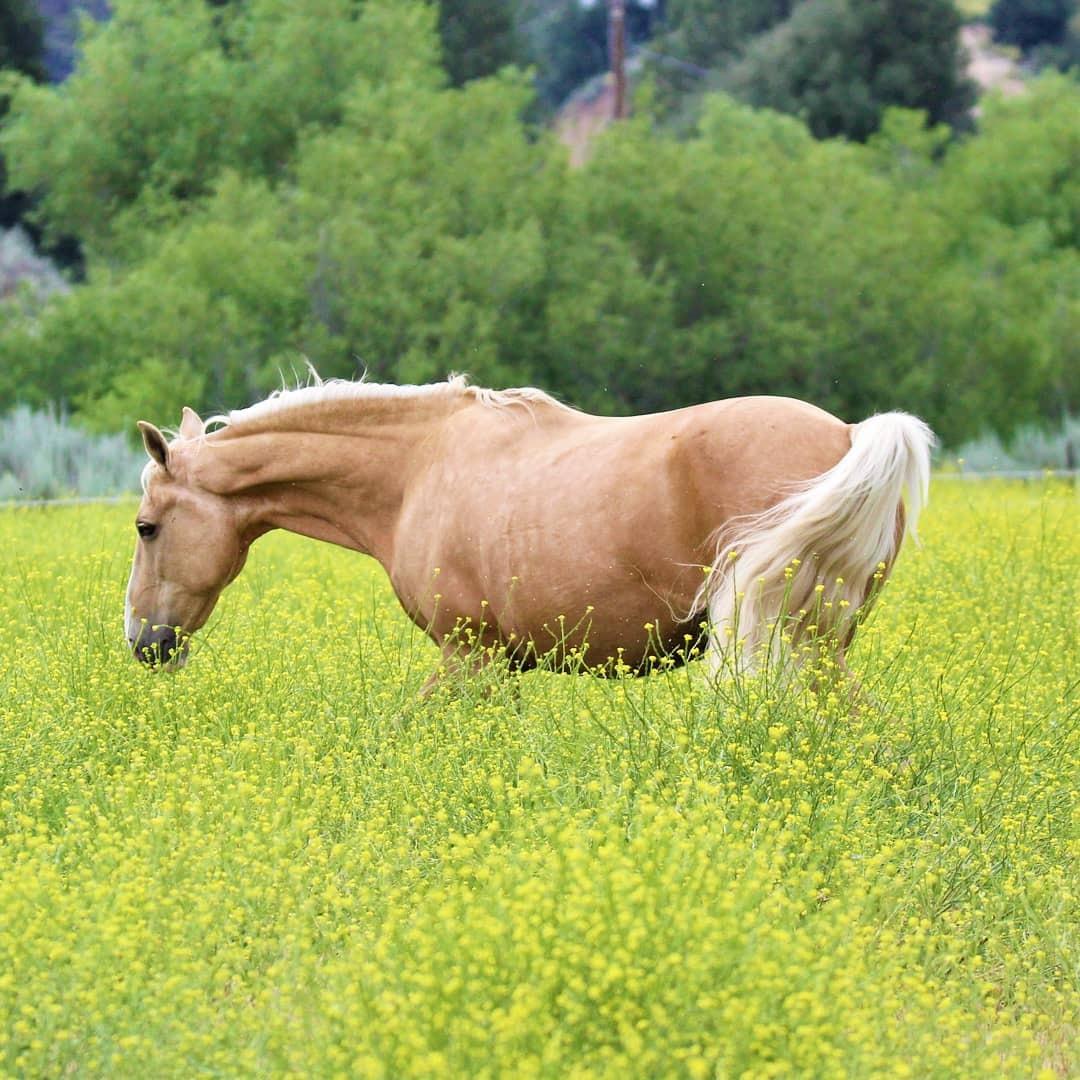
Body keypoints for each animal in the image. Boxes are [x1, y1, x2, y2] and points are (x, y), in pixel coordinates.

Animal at [125, 375, 933, 689]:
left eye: (146, 527)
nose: (142, 643)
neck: (417, 469)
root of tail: (852, 433)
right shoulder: (500, 665)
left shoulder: (467, 657)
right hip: (820, 648)